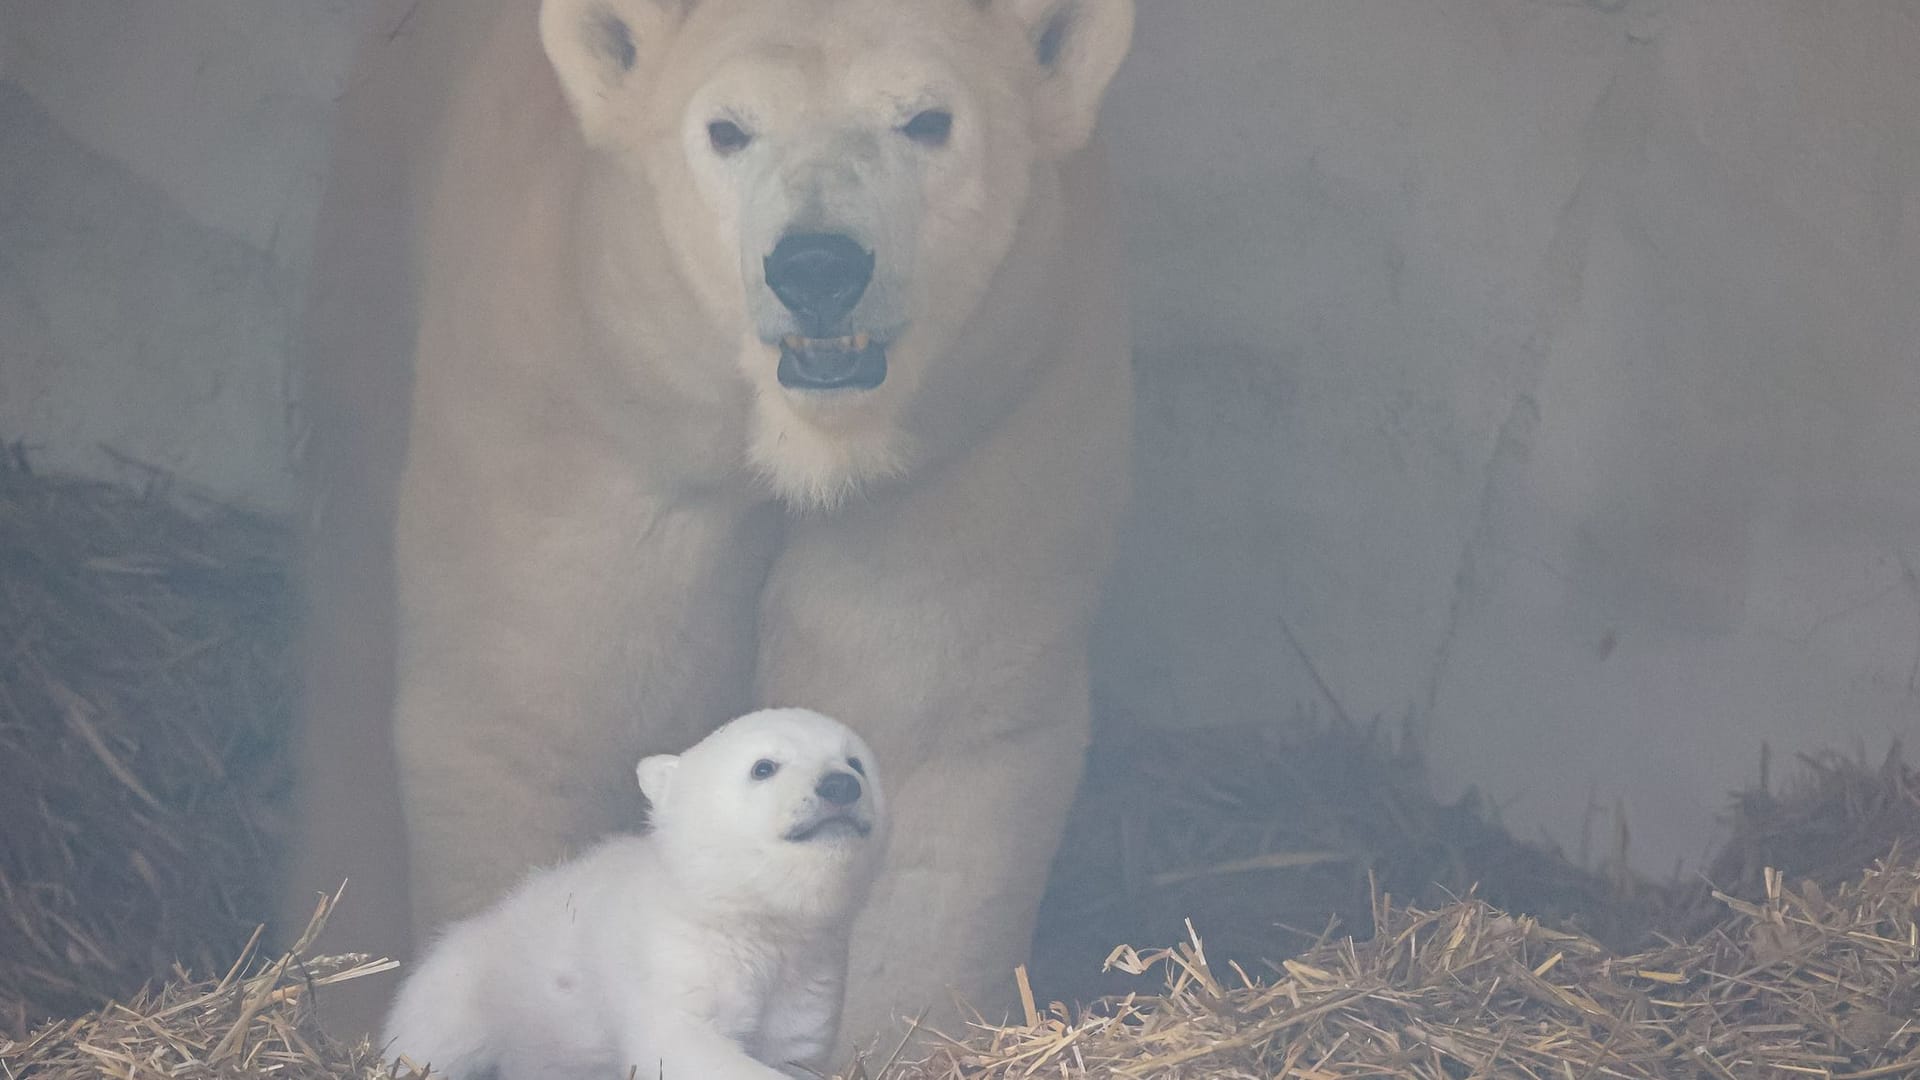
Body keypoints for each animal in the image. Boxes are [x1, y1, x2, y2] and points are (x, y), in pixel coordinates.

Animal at [282, 0, 1121, 1053]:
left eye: (927, 120)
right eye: (728, 129)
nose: (817, 266)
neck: (802, 453)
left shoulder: (972, 439)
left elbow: (928, 727)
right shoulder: (579, 417)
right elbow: (533, 713)